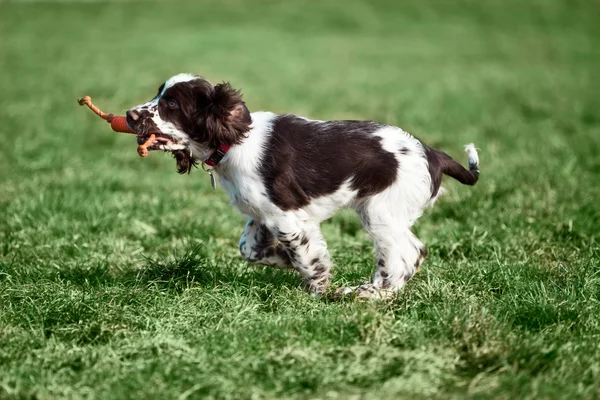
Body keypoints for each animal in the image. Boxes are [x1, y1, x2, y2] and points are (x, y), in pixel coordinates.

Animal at [125, 73, 478, 298]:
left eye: (171, 104)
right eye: (158, 94)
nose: (129, 115)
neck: (233, 142)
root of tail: (432, 154)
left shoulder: (287, 217)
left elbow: (308, 256)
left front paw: (318, 286)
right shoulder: (262, 214)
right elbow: (249, 248)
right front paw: (283, 261)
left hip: (380, 211)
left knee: (404, 253)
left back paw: (371, 294)